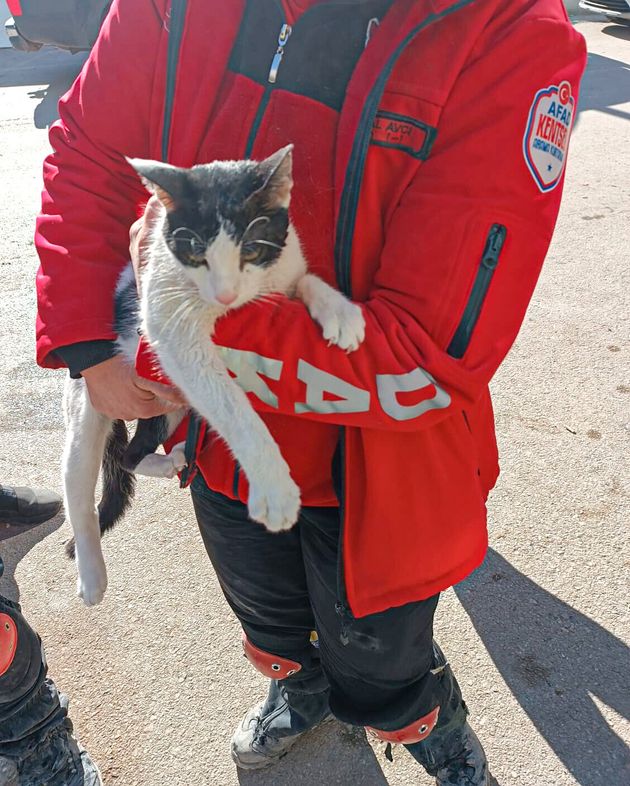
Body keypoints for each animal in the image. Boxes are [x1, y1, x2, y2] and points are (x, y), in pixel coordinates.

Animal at [61, 144, 368, 604]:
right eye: (194, 252)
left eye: (251, 250)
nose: (225, 294)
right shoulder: (171, 326)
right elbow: (234, 409)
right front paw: (273, 485)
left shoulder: (282, 270)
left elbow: (303, 280)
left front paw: (339, 310)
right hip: (90, 408)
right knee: (80, 487)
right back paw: (91, 574)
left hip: (167, 406)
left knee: (132, 453)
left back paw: (168, 459)